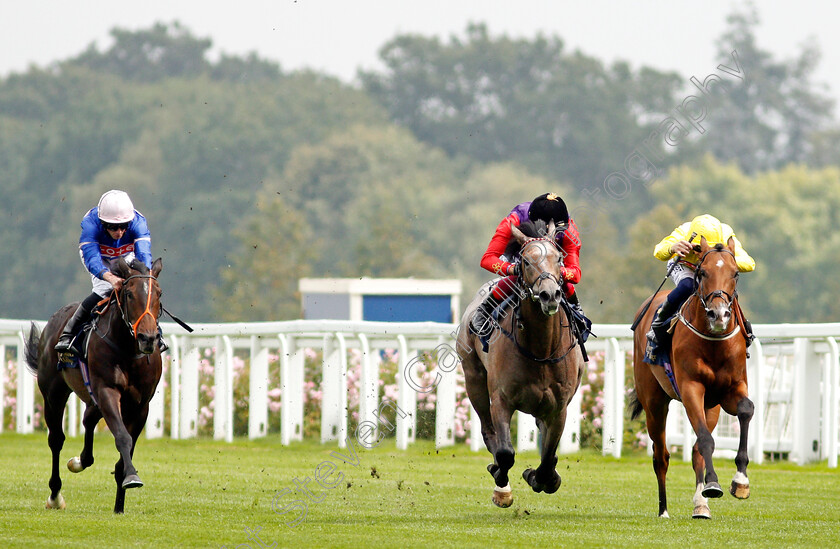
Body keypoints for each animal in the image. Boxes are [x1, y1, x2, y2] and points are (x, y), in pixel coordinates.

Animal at [25, 256, 164, 512]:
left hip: (91, 398)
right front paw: (132, 477)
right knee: (56, 439)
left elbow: (126, 448)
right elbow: (122, 437)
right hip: (53, 393)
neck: (128, 350)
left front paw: (120, 504)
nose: (148, 338)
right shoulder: (107, 391)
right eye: (129, 294)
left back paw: (80, 461)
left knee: (88, 419)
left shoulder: (141, 405)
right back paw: (55, 496)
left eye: (159, 293)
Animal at [460, 219, 584, 506]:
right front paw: (501, 487)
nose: (550, 295)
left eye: (559, 257)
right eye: (525, 261)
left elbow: (548, 458)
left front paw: (540, 477)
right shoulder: (501, 399)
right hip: (474, 379)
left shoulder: (559, 408)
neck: (541, 349)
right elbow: (505, 452)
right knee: (488, 432)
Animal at [632, 237, 756, 520]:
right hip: (654, 402)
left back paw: (701, 505)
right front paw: (714, 484)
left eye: (735, 274)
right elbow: (706, 439)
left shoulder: (730, 389)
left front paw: (740, 481)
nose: (719, 315)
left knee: (697, 450)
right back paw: (664, 510)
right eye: (702, 273)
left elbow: (746, 409)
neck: (713, 342)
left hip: (711, 407)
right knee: (661, 455)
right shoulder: (691, 389)